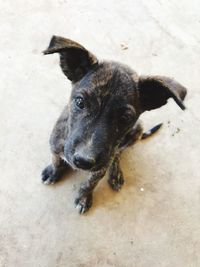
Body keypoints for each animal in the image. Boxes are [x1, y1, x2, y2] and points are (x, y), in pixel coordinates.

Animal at [41, 36, 187, 215]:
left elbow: (90, 183)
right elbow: (56, 160)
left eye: (125, 118)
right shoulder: (55, 146)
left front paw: (83, 197)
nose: (83, 161)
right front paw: (53, 171)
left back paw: (115, 174)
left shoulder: (100, 167)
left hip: (137, 130)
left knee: (118, 153)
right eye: (80, 102)